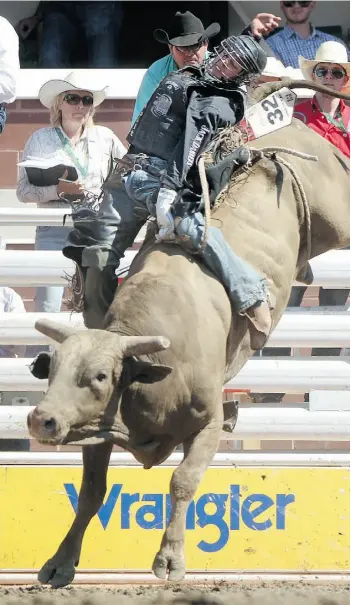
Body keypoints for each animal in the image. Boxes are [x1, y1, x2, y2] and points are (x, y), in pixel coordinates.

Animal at [26, 80, 350, 584]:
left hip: (338, 207)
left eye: (101, 376)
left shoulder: (210, 422)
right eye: (52, 369)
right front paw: (60, 562)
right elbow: (92, 491)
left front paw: (170, 559)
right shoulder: (98, 430)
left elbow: (183, 481)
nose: (42, 419)